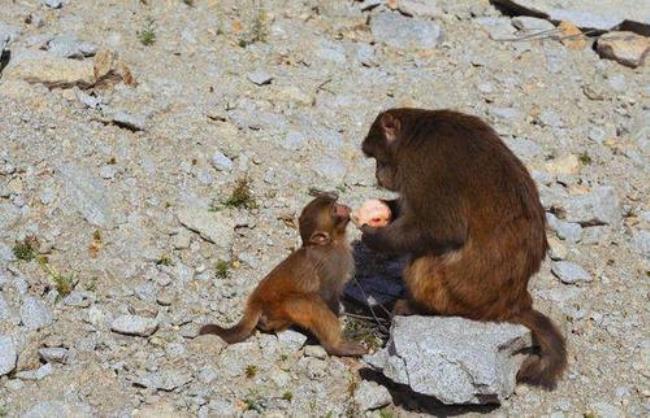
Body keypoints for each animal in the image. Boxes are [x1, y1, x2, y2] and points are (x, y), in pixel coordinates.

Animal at [197, 192, 364, 356]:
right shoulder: (330, 263)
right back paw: (336, 346)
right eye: (334, 209)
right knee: (309, 303)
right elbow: (326, 294)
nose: (342, 204)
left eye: (335, 203)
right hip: (278, 308)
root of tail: (255, 302)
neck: (333, 242)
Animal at [356, 107, 564, 388]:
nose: (378, 176)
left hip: (458, 293)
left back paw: (419, 308)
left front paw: (375, 238)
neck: (413, 137)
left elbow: (443, 228)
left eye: (378, 159)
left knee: (426, 260)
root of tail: (513, 303)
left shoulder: (425, 166)